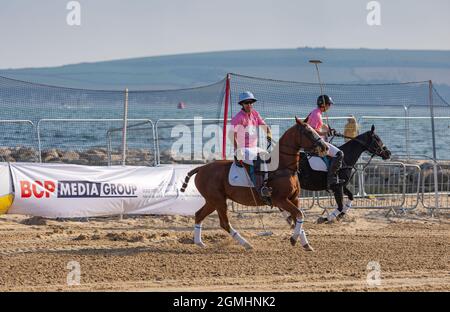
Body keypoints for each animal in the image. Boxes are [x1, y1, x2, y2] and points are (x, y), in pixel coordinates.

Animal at [179, 117, 326, 251]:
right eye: (308, 132)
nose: (324, 147)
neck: (283, 167)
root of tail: (201, 168)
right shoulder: (280, 200)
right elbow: (299, 215)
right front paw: (293, 239)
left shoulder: (294, 199)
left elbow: (297, 218)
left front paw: (306, 244)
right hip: (218, 200)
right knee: (224, 223)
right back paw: (246, 244)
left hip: (212, 201)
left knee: (199, 215)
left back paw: (200, 243)